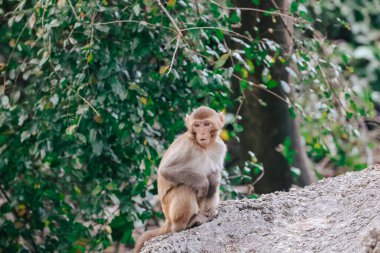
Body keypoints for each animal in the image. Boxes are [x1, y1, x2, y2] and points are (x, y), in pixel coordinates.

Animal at [134, 105, 226, 252]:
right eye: (197, 125)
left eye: (206, 124)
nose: (202, 134)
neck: (203, 147)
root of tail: (167, 220)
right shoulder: (187, 147)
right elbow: (166, 170)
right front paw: (203, 183)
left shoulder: (220, 146)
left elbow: (215, 172)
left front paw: (214, 179)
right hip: (171, 211)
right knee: (185, 188)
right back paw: (188, 223)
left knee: (212, 189)